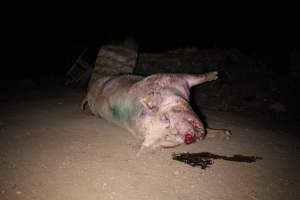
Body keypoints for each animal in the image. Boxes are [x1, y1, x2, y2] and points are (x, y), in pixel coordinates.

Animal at [81, 72, 231, 152]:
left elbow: (195, 77)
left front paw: (216, 75)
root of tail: (88, 93)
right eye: (167, 136)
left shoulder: (172, 78)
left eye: (166, 118)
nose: (187, 137)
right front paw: (228, 134)